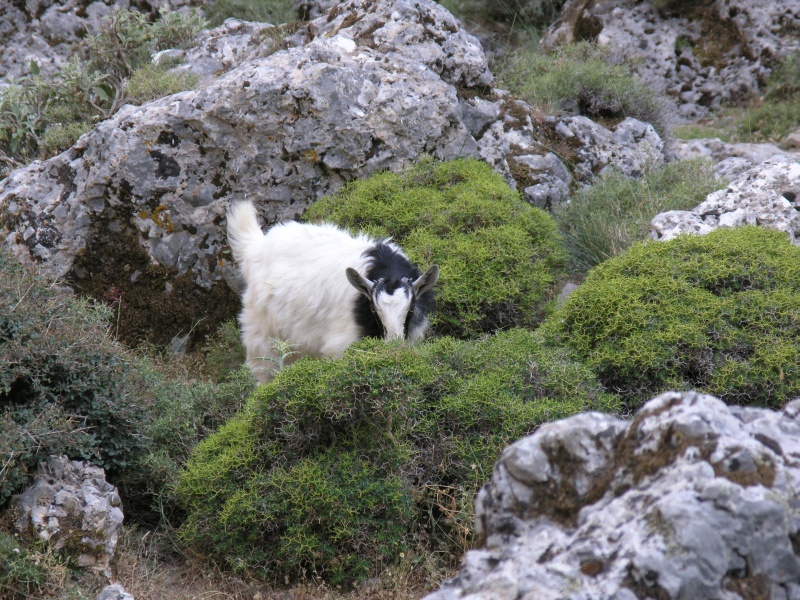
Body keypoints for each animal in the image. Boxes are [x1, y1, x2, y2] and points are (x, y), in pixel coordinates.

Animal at [225, 199, 440, 382]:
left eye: (410, 308)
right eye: (374, 309)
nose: (394, 347)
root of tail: (255, 248)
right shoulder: (340, 344)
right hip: (261, 335)